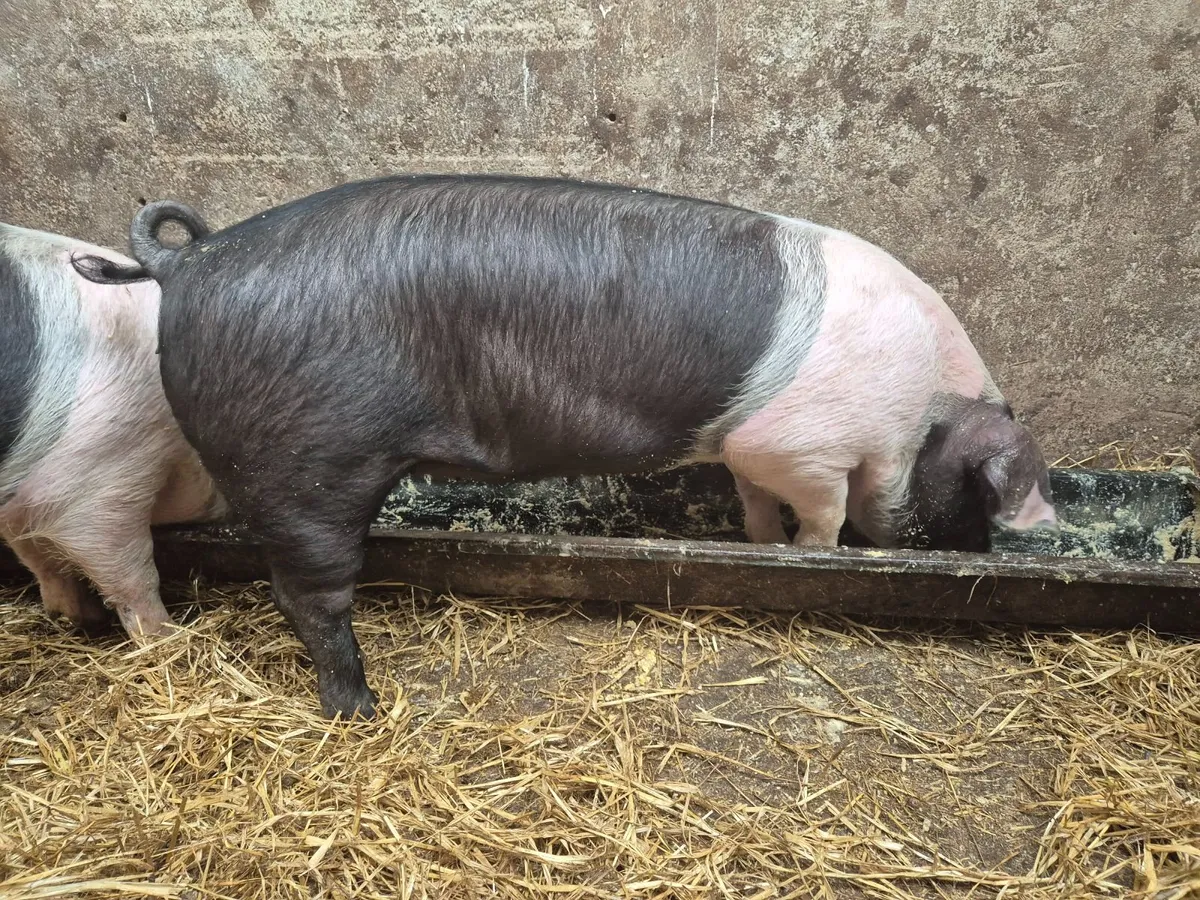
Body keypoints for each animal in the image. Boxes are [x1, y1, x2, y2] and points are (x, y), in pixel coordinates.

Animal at [0, 222, 225, 638]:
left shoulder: (21, 500)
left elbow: (38, 556)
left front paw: (74, 619)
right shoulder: (100, 469)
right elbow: (129, 569)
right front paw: (163, 634)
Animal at [72, 174, 1057, 718]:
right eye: (981, 493)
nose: (1000, 541)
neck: (919, 411)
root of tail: (185, 263)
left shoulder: (753, 453)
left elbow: (754, 508)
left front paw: (759, 545)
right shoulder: (803, 446)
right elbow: (821, 519)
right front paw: (815, 554)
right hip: (306, 469)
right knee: (309, 597)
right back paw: (362, 711)